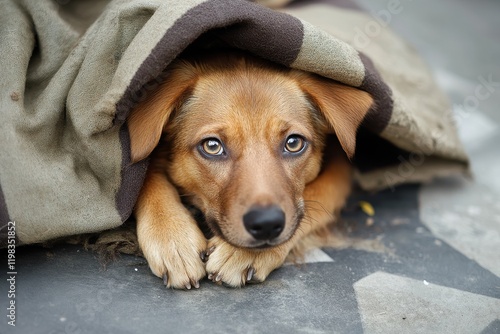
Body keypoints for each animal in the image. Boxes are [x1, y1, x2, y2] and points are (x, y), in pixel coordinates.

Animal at [127, 51, 374, 288]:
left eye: (294, 143)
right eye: (212, 146)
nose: (266, 224)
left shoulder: (341, 167)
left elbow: (317, 198)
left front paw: (238, 253)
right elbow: (145, 176)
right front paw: (172, 238)